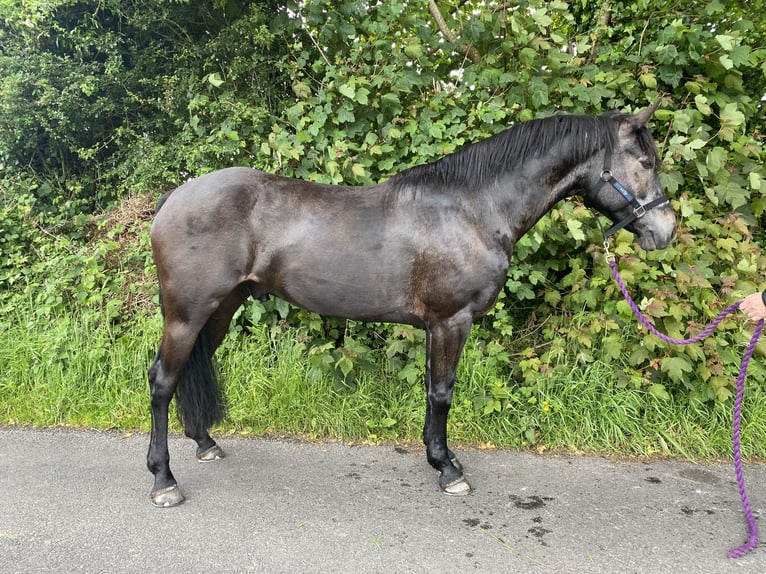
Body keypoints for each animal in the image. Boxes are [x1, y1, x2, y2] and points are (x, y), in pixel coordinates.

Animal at [147, 102, 676, 508]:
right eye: (646, 162)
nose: (665, 231)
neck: (472, 209)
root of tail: (174, 199)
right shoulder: (450, 322)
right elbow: (442, 393)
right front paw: (448, 470)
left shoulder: (435, 327)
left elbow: (431, 391)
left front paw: (441, 457)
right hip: (187, 315)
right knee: (162, 381)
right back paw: (163, 480)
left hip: (219, 311)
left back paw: (205, 444)